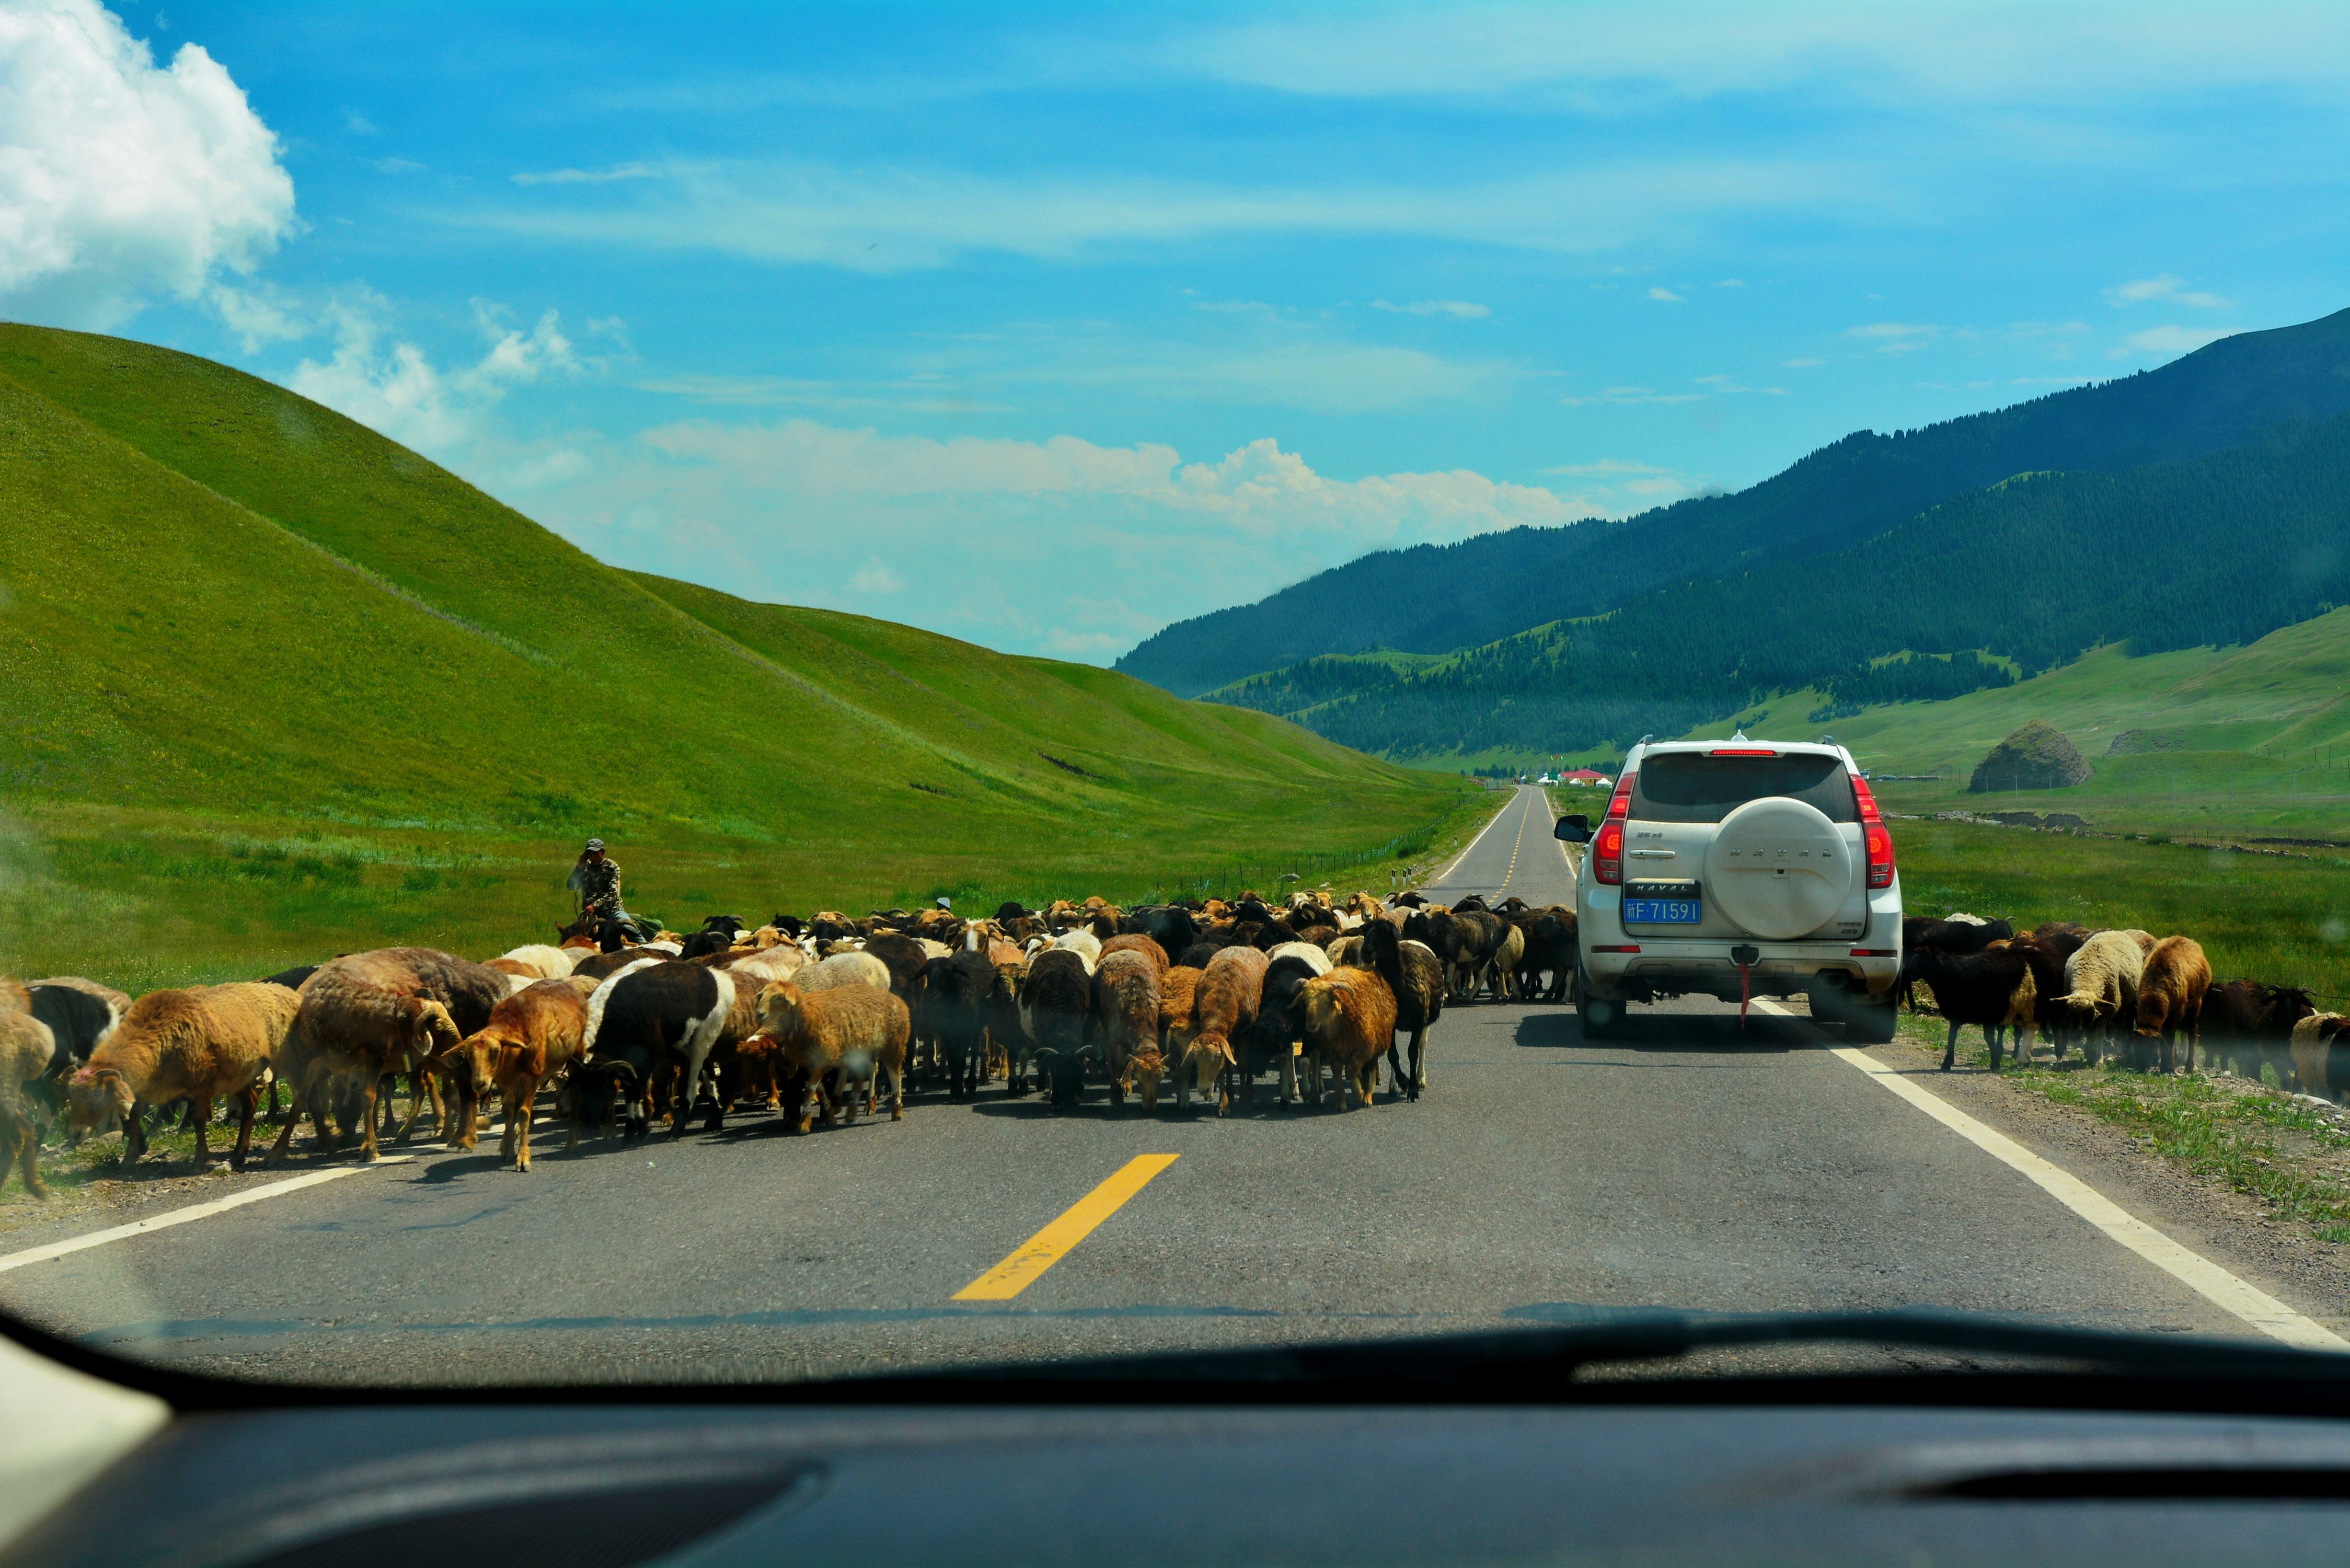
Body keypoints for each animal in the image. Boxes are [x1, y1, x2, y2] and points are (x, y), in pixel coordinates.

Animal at [70, 987, 301, 1170]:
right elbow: (135, 1118)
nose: (75, 1134)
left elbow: (198, 1121)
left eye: (98, 1093)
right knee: (251, 1102)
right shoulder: (145, 1088)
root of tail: (286, 990)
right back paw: (239, 1154)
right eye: (72, 1097)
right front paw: (129, 1158)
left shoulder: (203, 1084)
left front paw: (199, 1160)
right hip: (239, 1074)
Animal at [761, 983, 907, 1128]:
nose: (760, 1014)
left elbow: (810, 1088)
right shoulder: (811, 1063)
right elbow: (818, 1088)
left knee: (893, 1075)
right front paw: (828, 1114)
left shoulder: (822, 1061)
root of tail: (897, 1000)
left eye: (779, 997)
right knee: (861, 1073)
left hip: (892, 1045)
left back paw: (893, 1110)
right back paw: (851, 1108)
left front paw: (804, 1122)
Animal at [1306, 964, 1391, 1109]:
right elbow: (1337, 1073)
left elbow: (1352, 1070)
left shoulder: (1363, 1049)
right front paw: (1341, 1102)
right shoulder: (1333, 1051)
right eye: (1306, 1002)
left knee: (1371, 1068)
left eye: (1327, 1002)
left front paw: (1359, 1093)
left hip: (1375, 1044)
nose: (1310, 1026)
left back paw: (1368, 1096)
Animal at [1898, 950, 2030, 1071]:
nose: (1907, 970)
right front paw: (1947, 1063)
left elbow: (1988, 1038)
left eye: (1923, 959)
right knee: (2003, 1030)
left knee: (2017, 1032)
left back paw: (2015, 1054)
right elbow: (1951, 1037)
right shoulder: (1955, 1017)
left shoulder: (1987, 1017)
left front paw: (1996, 1064)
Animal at [2143, 931, 2209, 1081]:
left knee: (2192, 1034)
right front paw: (2163, 1068)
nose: (2140, 1069)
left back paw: (2189, 1067)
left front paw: (2171, 1069)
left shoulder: (2176, 1014)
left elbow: (2170, 1040)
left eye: (2152, 1048)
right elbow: (2164, 1042)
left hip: (2194, 1006)